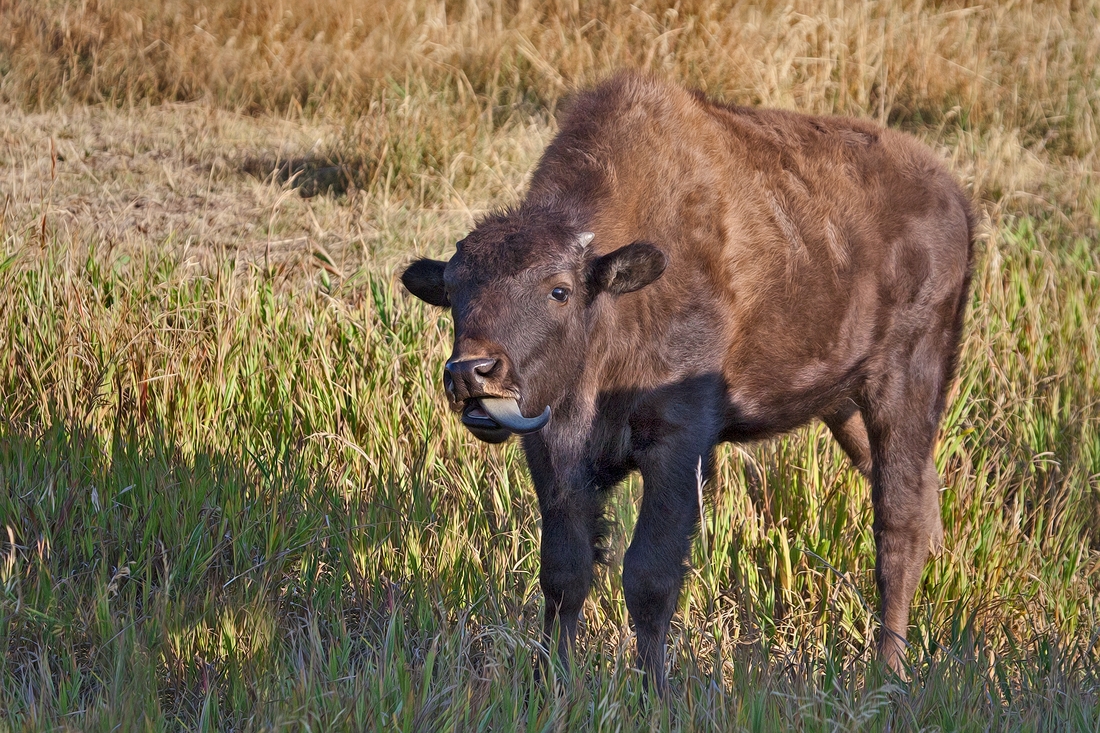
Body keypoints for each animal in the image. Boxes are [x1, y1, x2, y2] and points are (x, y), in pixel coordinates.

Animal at [402, 69, 972, 691]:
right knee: (920, 497)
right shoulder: (555, 454)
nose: (472, 371)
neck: (614, 298)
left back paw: (888, 670)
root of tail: (954, 197)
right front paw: (545, 683)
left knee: (897, 522)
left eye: (559, 290)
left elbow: (649, 576)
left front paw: (655, 690)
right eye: (453, 291)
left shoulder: (677, 445)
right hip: (842, 402)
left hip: (906, 381)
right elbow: (564, 573)